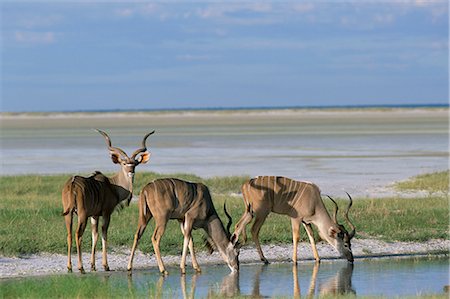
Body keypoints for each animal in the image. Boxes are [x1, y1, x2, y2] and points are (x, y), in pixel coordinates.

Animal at [61, 129, 155, 274]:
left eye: (135, 164)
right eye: (124, 163)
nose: (131, 172)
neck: (112, 185)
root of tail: (72, 185)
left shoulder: (94, 216)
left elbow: (94, 235)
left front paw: (93, 266)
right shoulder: (106, 213)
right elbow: (104, 234)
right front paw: (106, 266)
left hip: (69, 214)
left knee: (69, 234)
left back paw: (70, 267)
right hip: (82, 215)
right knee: (78, 234)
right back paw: (80, 267)